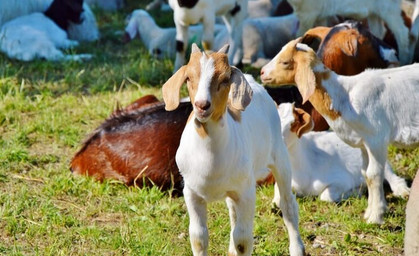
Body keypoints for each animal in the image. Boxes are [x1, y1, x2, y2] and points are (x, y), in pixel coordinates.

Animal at [162, 43, 306, 255]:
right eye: (188, 78)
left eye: (224, 79)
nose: (202, 105)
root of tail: (253, 81)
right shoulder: (191, 192)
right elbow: (198, 237)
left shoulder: (247, 192)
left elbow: (243, 240)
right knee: (232, 211)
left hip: (280, 158)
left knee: (288, 205)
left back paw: (297, 248)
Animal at [278, 103, 410, 203]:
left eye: (293, 123)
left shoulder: (342, 179)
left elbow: (325, 196)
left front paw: (356, 191)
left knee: (393, 178)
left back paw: (403, 192)